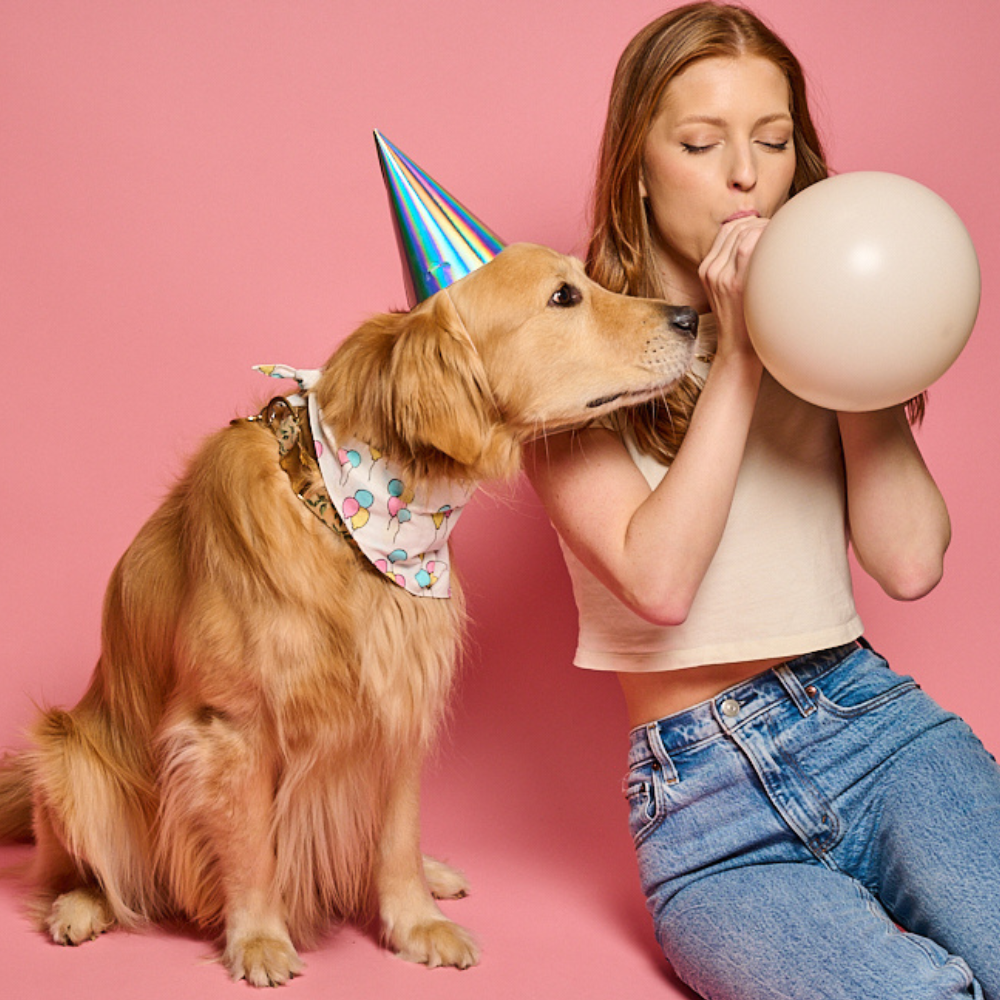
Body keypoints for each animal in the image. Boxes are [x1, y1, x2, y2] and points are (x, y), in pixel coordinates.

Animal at [0, 242, 696, 984]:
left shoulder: (399, 700)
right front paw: (258, 939)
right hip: (69, 761)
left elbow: (395, 838)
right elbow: (251, 847)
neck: (351, 510)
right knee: (84, 867)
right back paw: (80, 907)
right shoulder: (230, 727)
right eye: (565, 297)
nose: (692, 317)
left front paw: (417, 922)